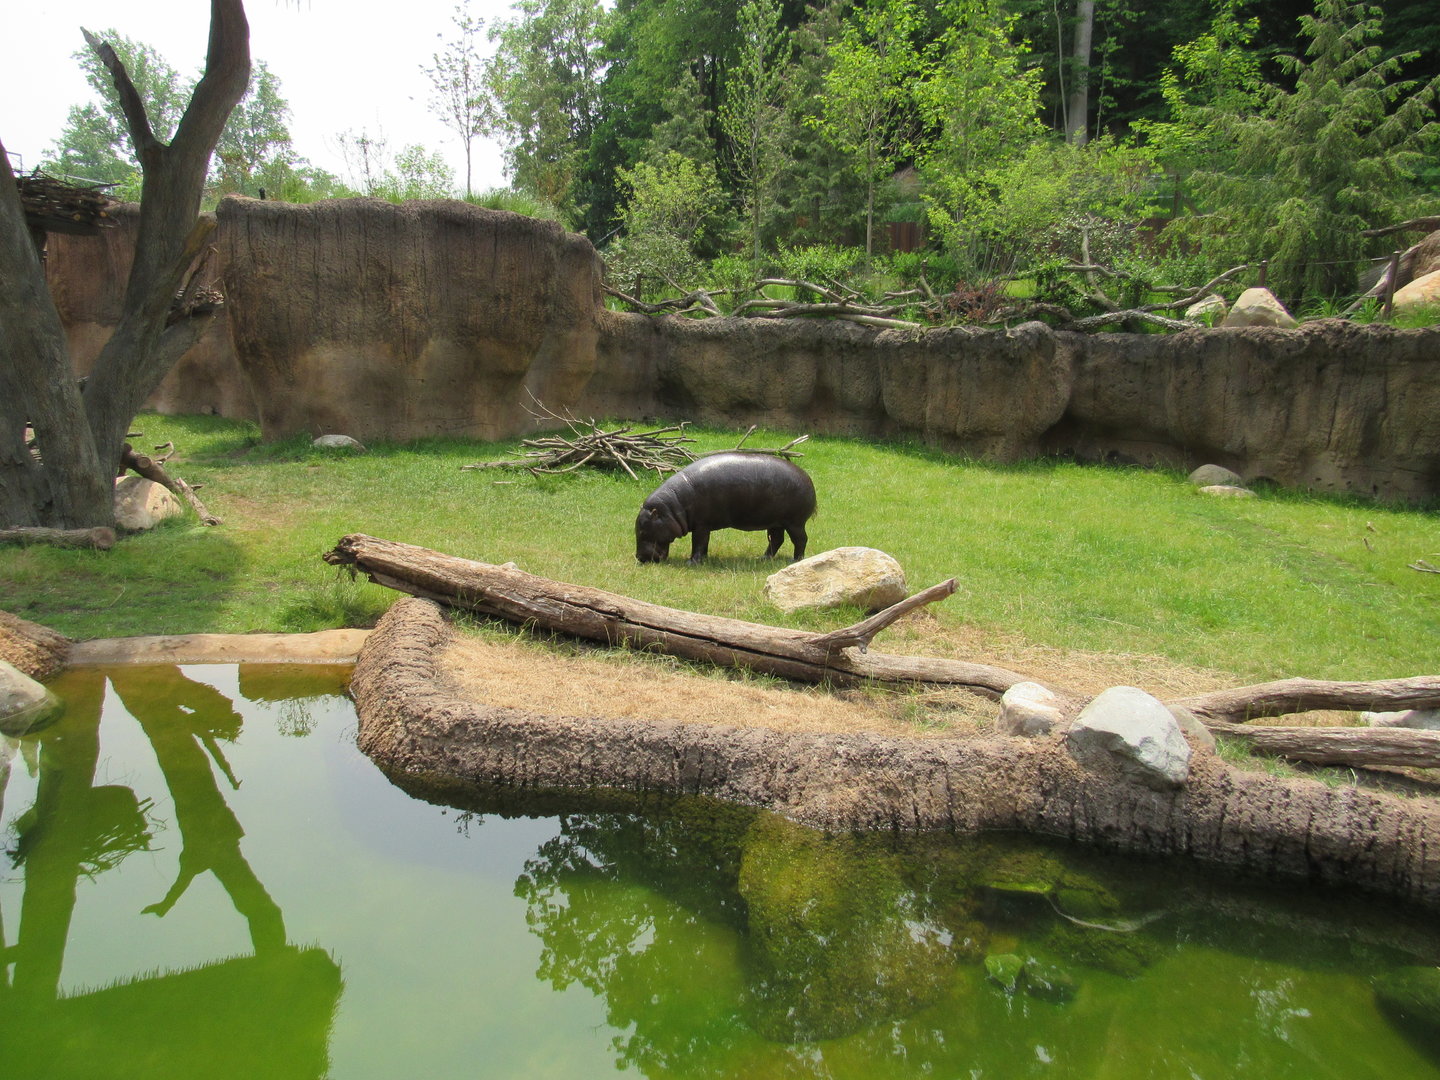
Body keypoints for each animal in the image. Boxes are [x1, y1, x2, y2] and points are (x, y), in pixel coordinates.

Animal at [635, 452, 817, 564]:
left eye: (643, 532)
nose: (639, 557)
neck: (672, 508)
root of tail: (808, 478)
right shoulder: (704, 526)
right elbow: (704, 543)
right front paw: (705, 559)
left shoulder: (701, 524)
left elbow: (698, 543)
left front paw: (691, 562)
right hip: (775, 522)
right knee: (776, 540)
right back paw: (762, 558)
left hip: (795, 522)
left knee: (800, 540)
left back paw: (795, 560)